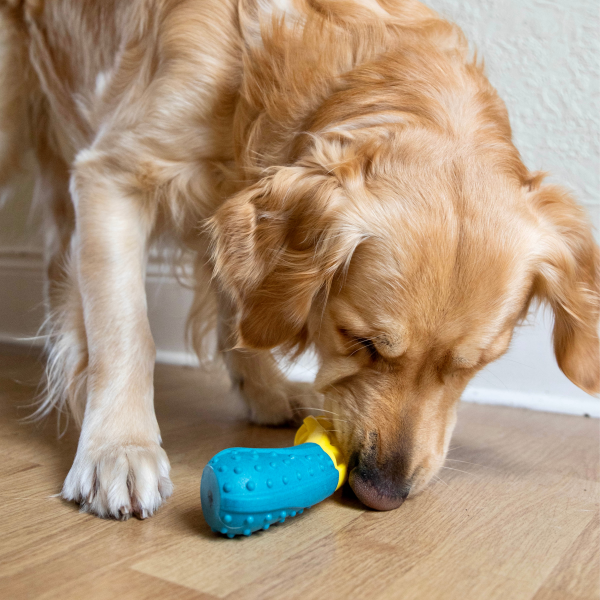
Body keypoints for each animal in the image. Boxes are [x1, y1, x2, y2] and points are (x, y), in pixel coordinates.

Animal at [0, 0, 596, 516]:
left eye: (473, 366)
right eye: (361, 341)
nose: (382, 492)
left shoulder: (227, 204)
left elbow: (238, 306)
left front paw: (265, 392)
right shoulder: (113, 173)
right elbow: (127, 331)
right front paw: (118, 448)